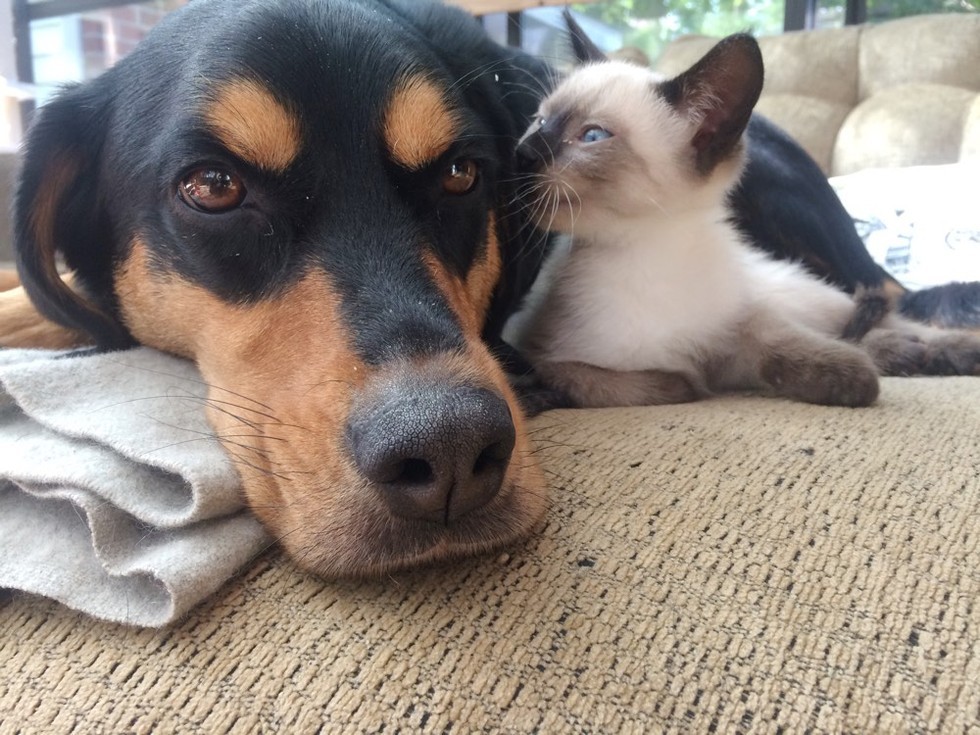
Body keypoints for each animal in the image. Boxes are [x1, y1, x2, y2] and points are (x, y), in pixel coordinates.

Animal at [510, 24, 980, 408]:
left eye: (592, 136)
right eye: (539, 121)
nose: (522, 152)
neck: (644, 253)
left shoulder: (744, 321)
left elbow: (778, 344)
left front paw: (851, 380)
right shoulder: (541, 351)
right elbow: (627, 383)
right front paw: (684, 382)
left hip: (804, 294)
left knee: (876, 320)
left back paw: (942, 353)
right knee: (872, 328)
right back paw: (909, 355)